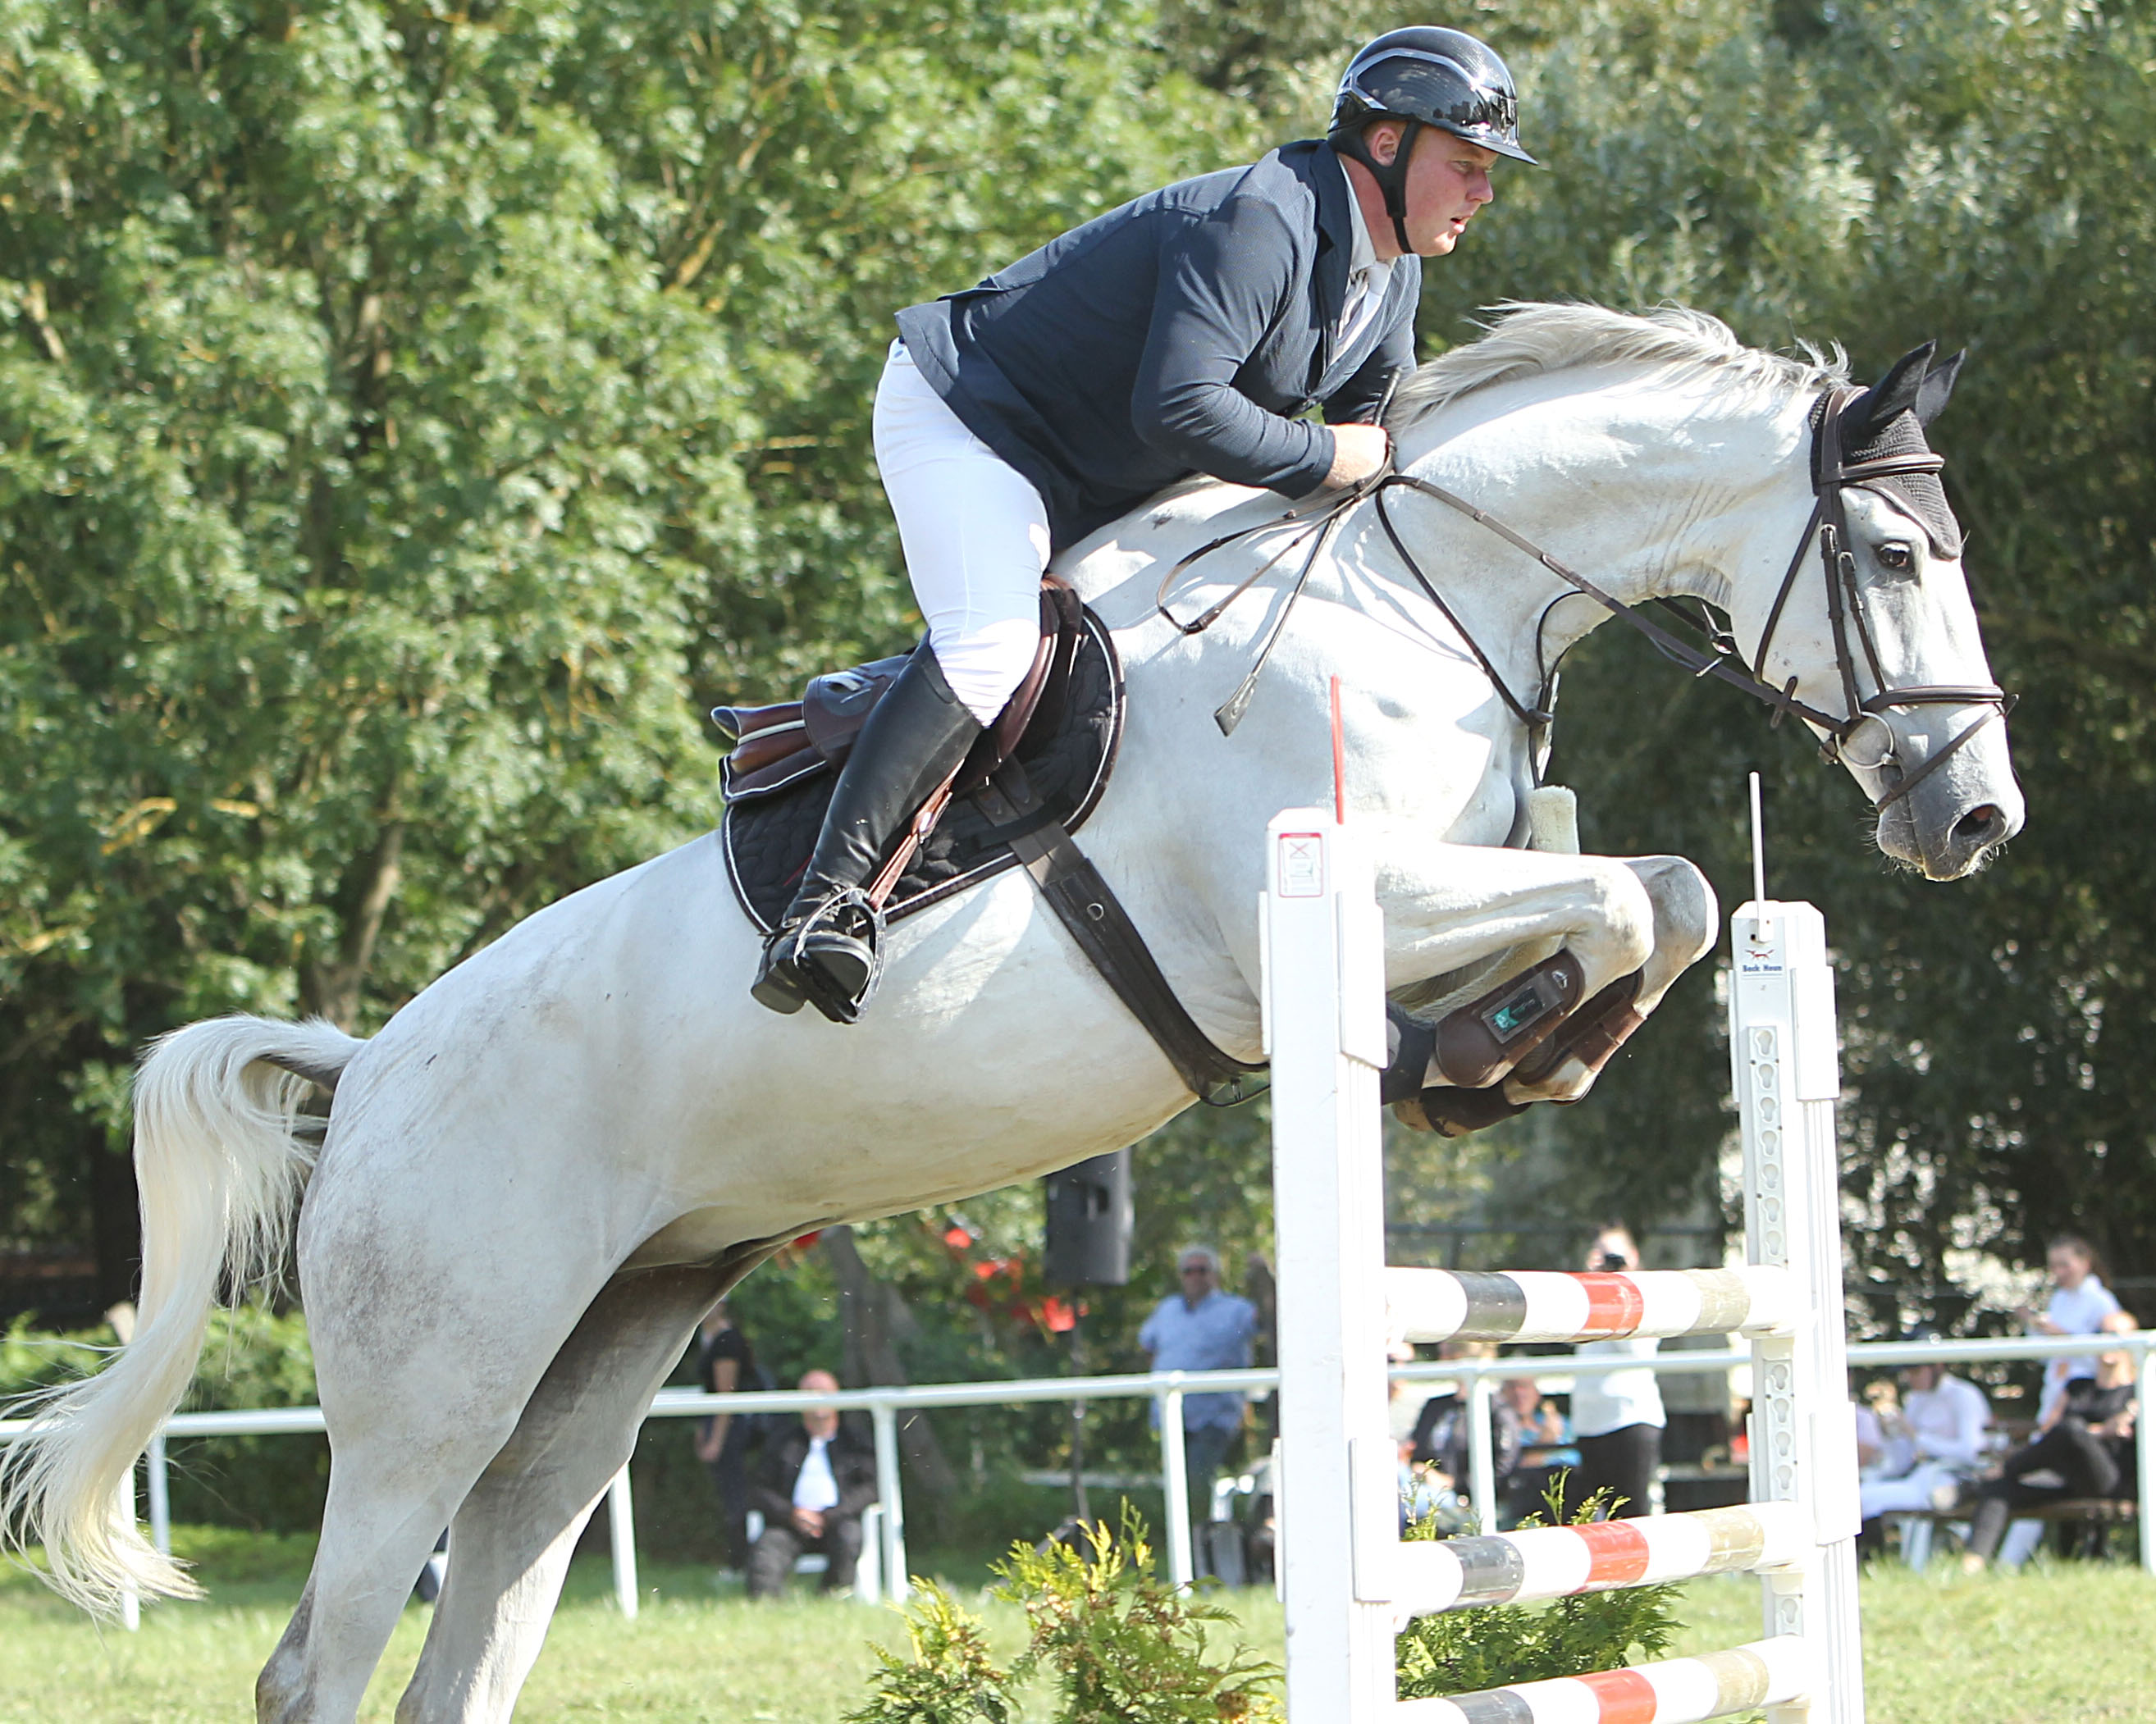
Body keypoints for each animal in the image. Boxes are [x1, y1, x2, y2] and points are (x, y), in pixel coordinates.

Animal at [4, 303, 2017, 1715]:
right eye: (1896, 560)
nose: (1972, 818)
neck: (1418, 594)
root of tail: (371, 1066)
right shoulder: (1318, 909)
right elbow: (1643, 887)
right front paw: (1492, 1056)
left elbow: (1658, 897)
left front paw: (1494, 1059)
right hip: (437, 1382)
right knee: (322, 1656)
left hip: (592, 1370)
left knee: (475, 1628)